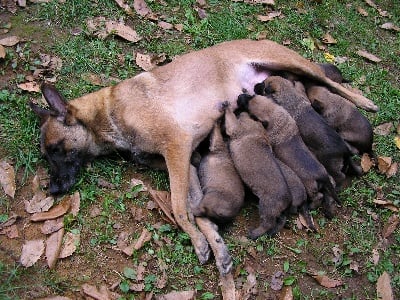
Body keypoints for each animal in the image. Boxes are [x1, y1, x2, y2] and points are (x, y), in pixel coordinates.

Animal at [222, 104, 290, 238]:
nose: (241, 111)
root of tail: (286, 200)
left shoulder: (235, 127)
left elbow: (230, 117)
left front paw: (226, 106)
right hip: (275, 211)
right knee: (280, 220)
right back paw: (271, 232)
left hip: (266, 207)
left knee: (268, 223)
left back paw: (254, 234)